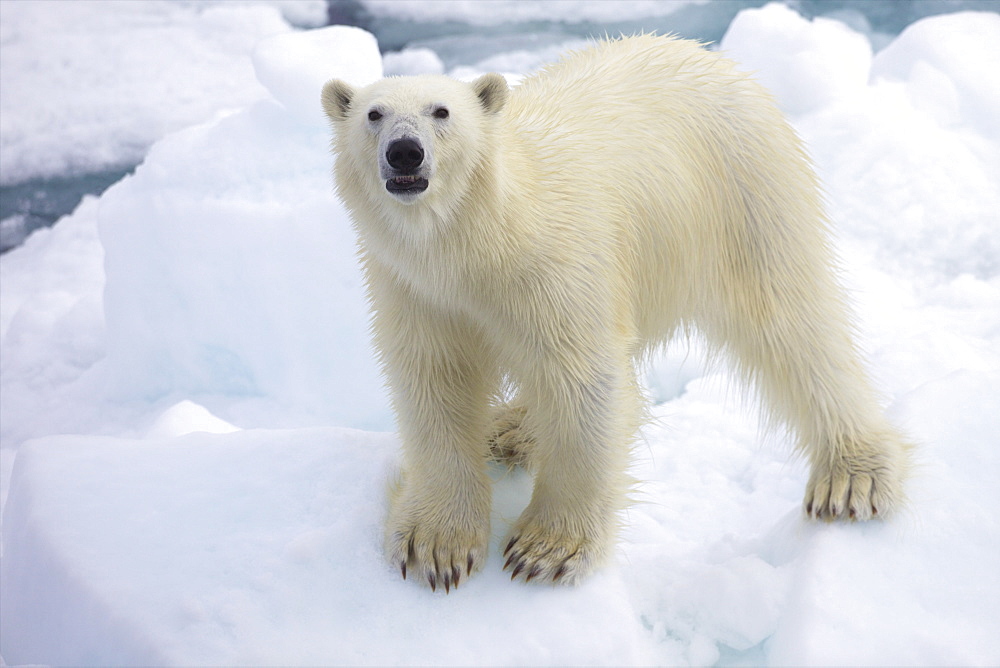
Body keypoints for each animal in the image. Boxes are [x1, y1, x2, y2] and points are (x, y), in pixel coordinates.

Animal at [322, 35, 916, 588]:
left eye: (441, 112)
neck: (481, 244)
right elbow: (434, 385)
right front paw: (434, 544)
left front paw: (546, 550)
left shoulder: (555, 269)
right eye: (374, 114)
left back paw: (852, 475)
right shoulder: (416, 292)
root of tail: (716, 58)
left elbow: (583, 382)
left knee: (793, 322)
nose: (405, 152)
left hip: (745, 193)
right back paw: (510, 429)